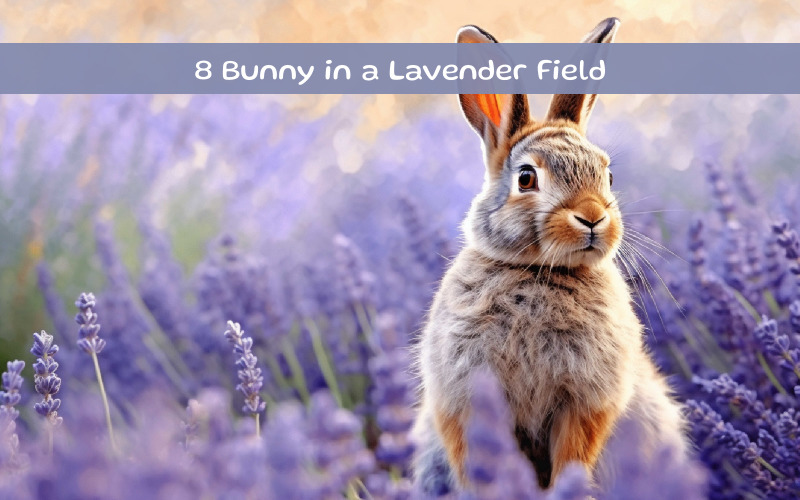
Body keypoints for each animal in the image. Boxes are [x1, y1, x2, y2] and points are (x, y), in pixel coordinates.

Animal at [411, 17, 687, 495]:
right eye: (526, 178)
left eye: (608, 176)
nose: (593, 217)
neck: (540, 271)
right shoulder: (462, 397)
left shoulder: (585, 401)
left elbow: (574, 452)